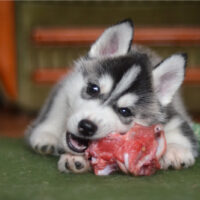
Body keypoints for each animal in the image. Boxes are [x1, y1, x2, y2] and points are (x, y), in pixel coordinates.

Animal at [25, 19, 198, 173]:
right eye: (93, 89)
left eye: (125, 111)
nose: (86, 126)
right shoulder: (63, 90)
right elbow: (56, 110)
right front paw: (54, 140)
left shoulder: (171, 113)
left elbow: (179, 127)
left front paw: (176, 150)